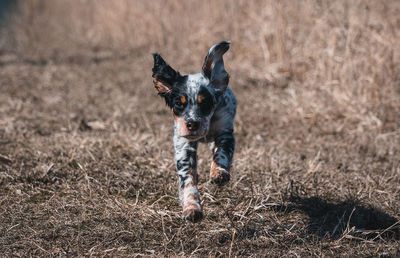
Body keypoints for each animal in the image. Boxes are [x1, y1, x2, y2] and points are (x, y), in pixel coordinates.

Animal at [152, 40, 236, 222]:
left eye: (205, 103)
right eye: (178, 103)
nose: (192, 124)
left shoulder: (225, 133)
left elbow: (222, 153)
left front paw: (219, 173)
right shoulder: (184, 145)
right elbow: (188, 179)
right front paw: (191, 207)